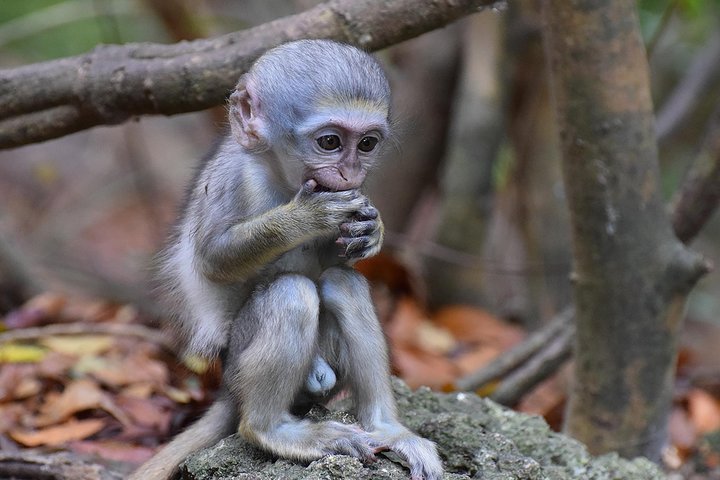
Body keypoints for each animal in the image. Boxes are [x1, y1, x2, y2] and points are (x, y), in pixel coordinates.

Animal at [131, 39, 442, 478]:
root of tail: (228, 388)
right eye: (329, 142)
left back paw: (387, 429)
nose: (349, 173)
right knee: (291, 292)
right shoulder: (234, 178)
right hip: (242, 361)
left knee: (343, 283)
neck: (279, 177)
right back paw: (271, 430)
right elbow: (212, 260)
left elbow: (339, 256)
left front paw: (372, 229)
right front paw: (305, 217)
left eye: (366, 144)